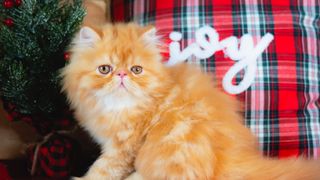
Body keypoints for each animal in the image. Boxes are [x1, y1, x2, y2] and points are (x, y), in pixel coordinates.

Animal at [62, 23, 320, 179]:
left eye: (136, 70)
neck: (117, 107)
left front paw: (81, 178)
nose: (122, 75)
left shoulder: (123, 149)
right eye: (105, 69)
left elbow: (102, 170)